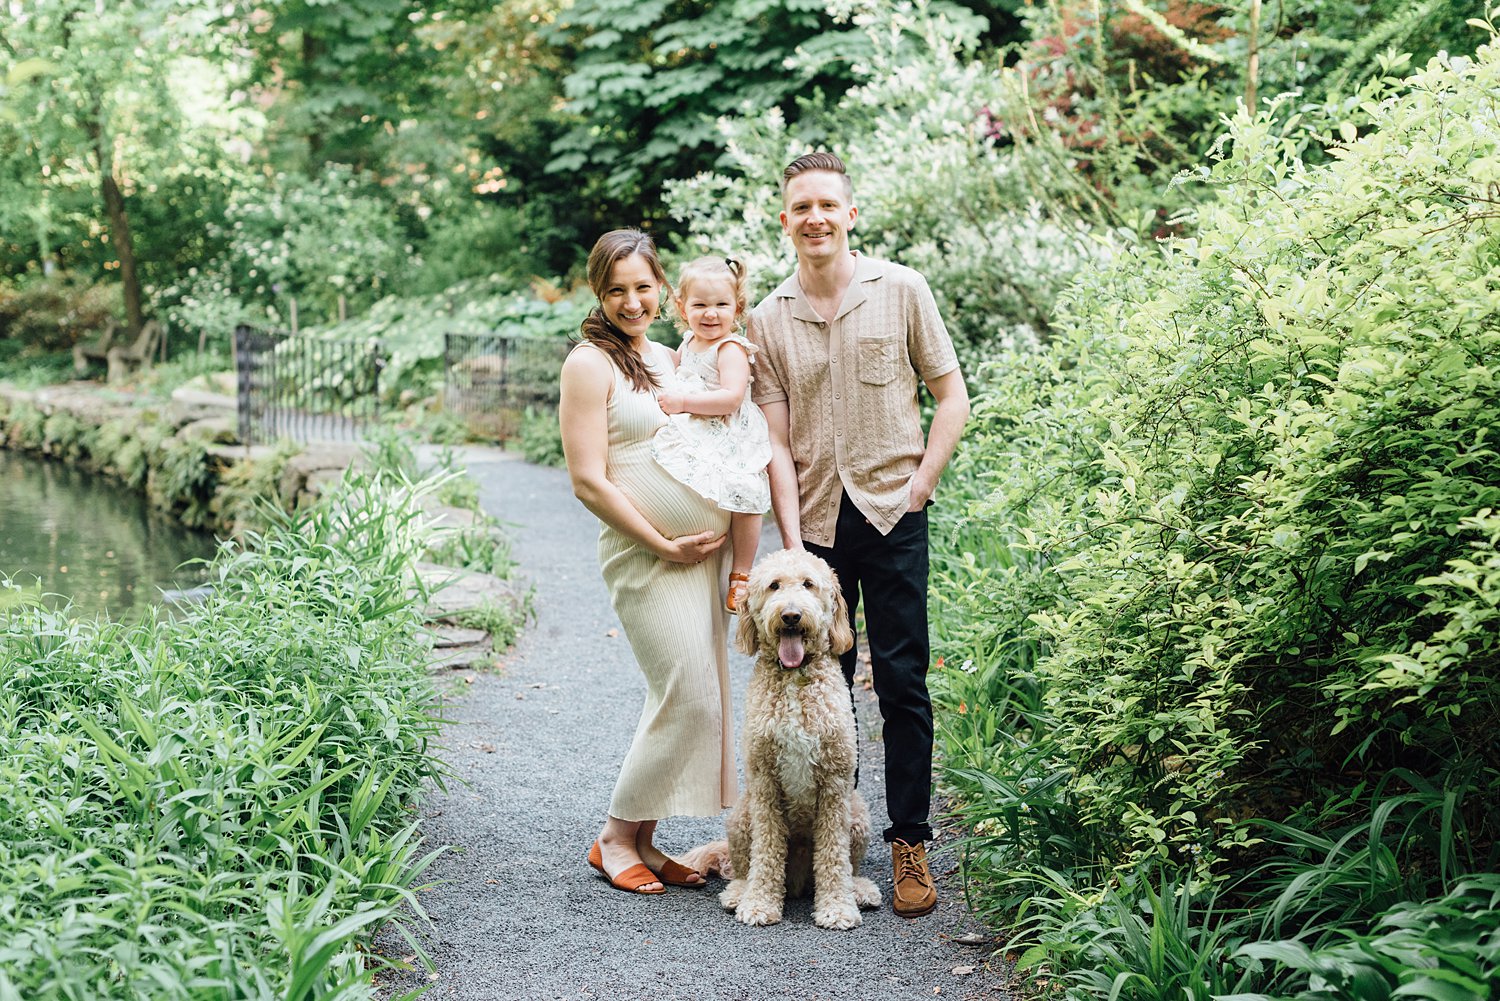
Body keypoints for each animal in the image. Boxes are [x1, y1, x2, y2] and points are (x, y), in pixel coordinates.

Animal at [690, 549, 876, 930]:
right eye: (774, 585)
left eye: (808, 584)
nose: (791, 615)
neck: (794, 678)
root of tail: (801, 879)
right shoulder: (764, 782)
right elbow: (767, 850)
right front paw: (760, 903)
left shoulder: (836, 784)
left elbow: (834, 855)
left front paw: (838, 907)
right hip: (740, 816)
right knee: (742, 866)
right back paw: (739, 891)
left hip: (858, 813)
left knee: (849, 865)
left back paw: (859, 889)